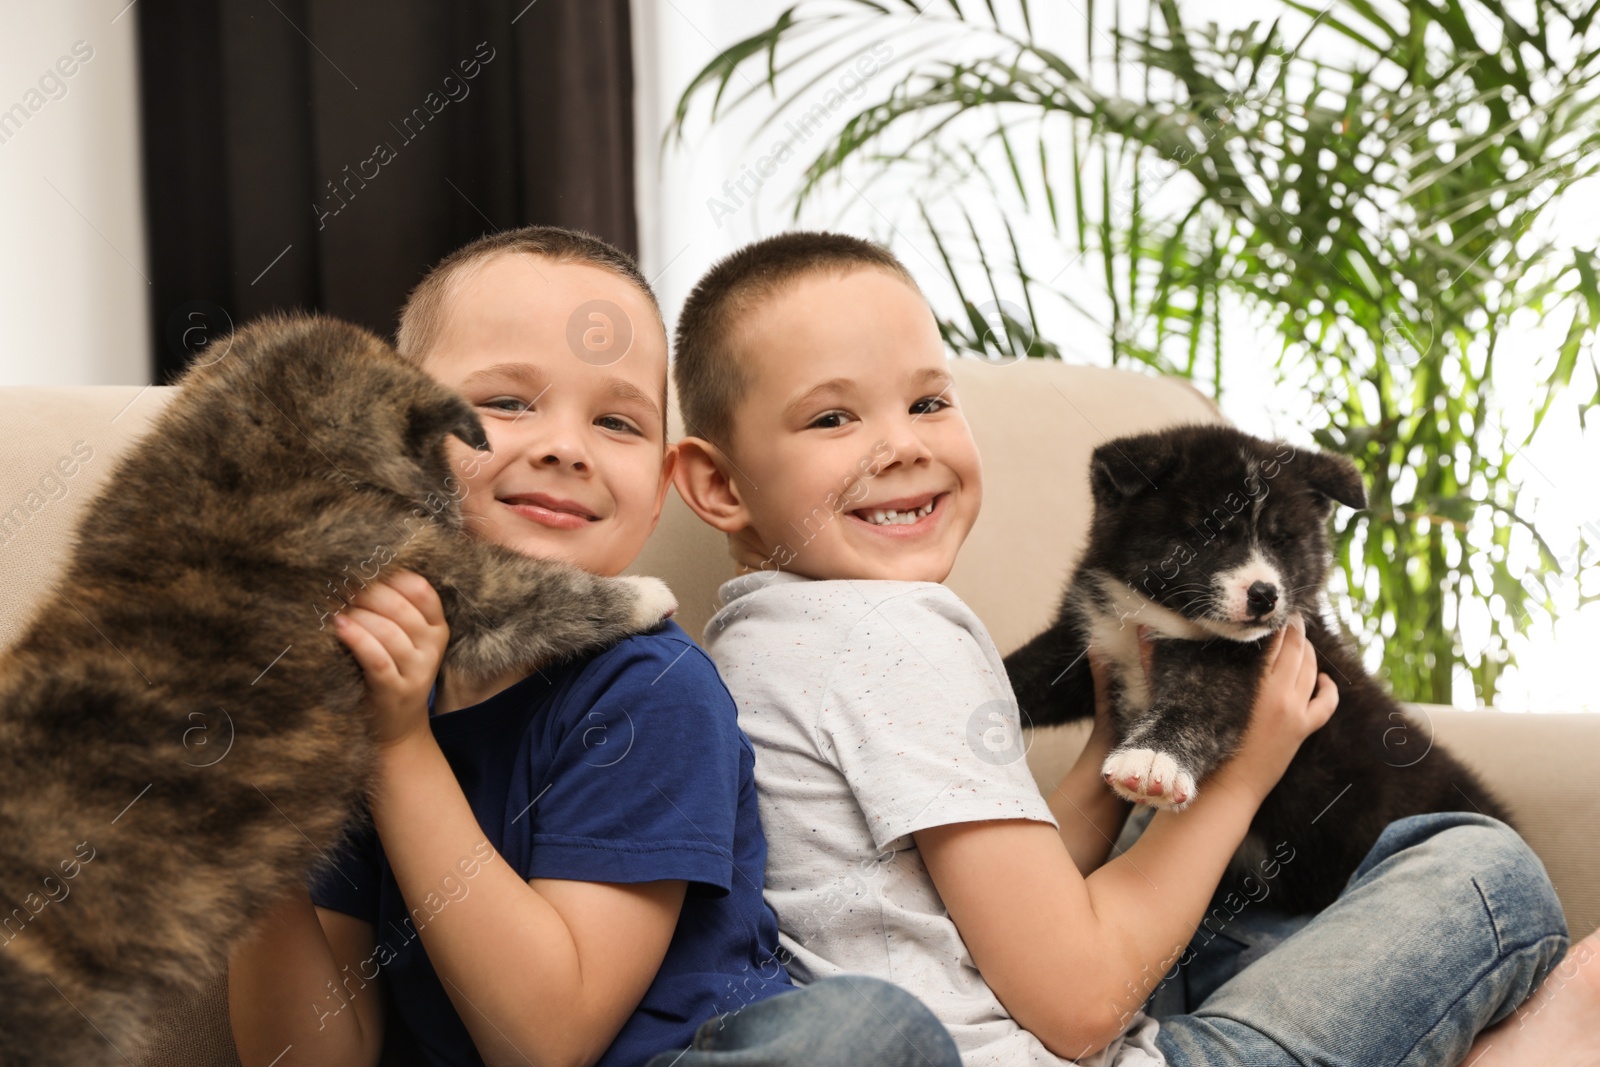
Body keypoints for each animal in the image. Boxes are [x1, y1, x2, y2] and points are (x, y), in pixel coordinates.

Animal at [1011, 428, 1510, 915]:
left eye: (1281, 540)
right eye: (1208, 532)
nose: (1265, 595)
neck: (1156, 617)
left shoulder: (1237, 660)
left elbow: (1198, 703)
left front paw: (1153, 759)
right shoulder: (1087, 639)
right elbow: (1027, 671)